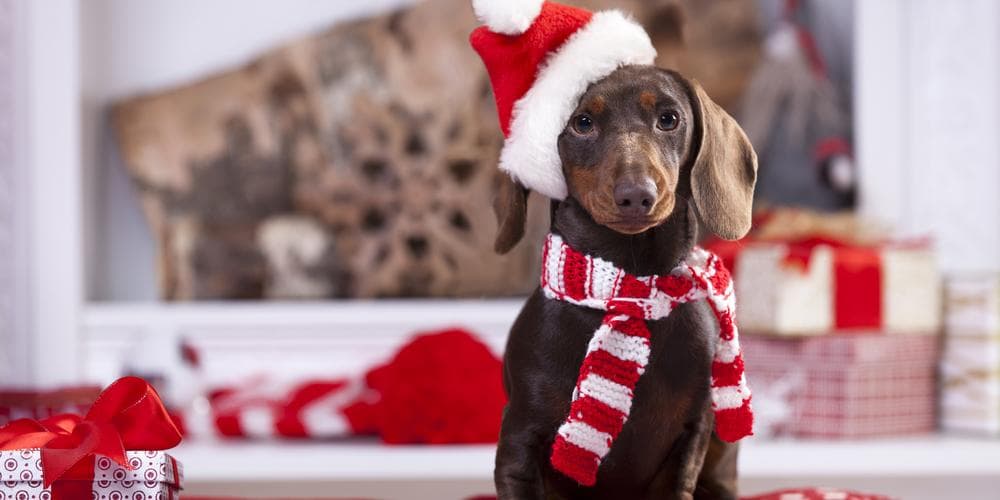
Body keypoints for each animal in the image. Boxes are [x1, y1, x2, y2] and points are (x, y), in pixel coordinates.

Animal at [488, 64, 752, 498]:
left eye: (669, 118)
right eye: (582, 123)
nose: (637, 195)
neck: (629, 286)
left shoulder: (690, 439)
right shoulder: (518, 445)